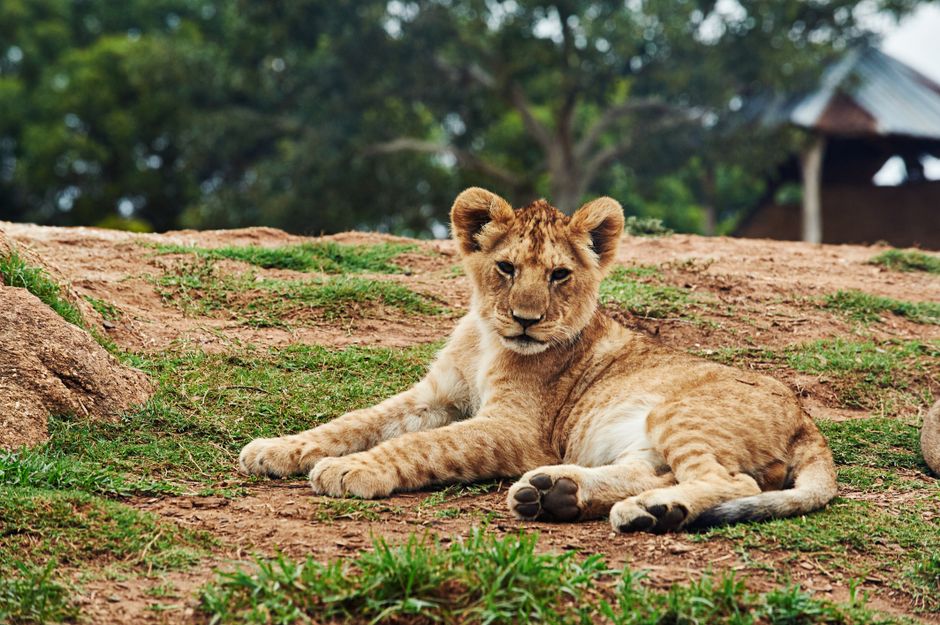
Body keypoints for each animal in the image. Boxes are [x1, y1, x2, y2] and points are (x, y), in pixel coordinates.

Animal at [239, 188, 837, 533]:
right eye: (506, 268)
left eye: (559, 275)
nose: (525, 320)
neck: (486, 338)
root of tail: (808, 421)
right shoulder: (435, 396)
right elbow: (355, 421)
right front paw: (274, 449)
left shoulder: (516, 429)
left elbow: (423, 446)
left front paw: (351, 469)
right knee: (648, 471)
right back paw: (563, 495)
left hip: (679, 412)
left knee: (737, 484)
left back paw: (640, 511)